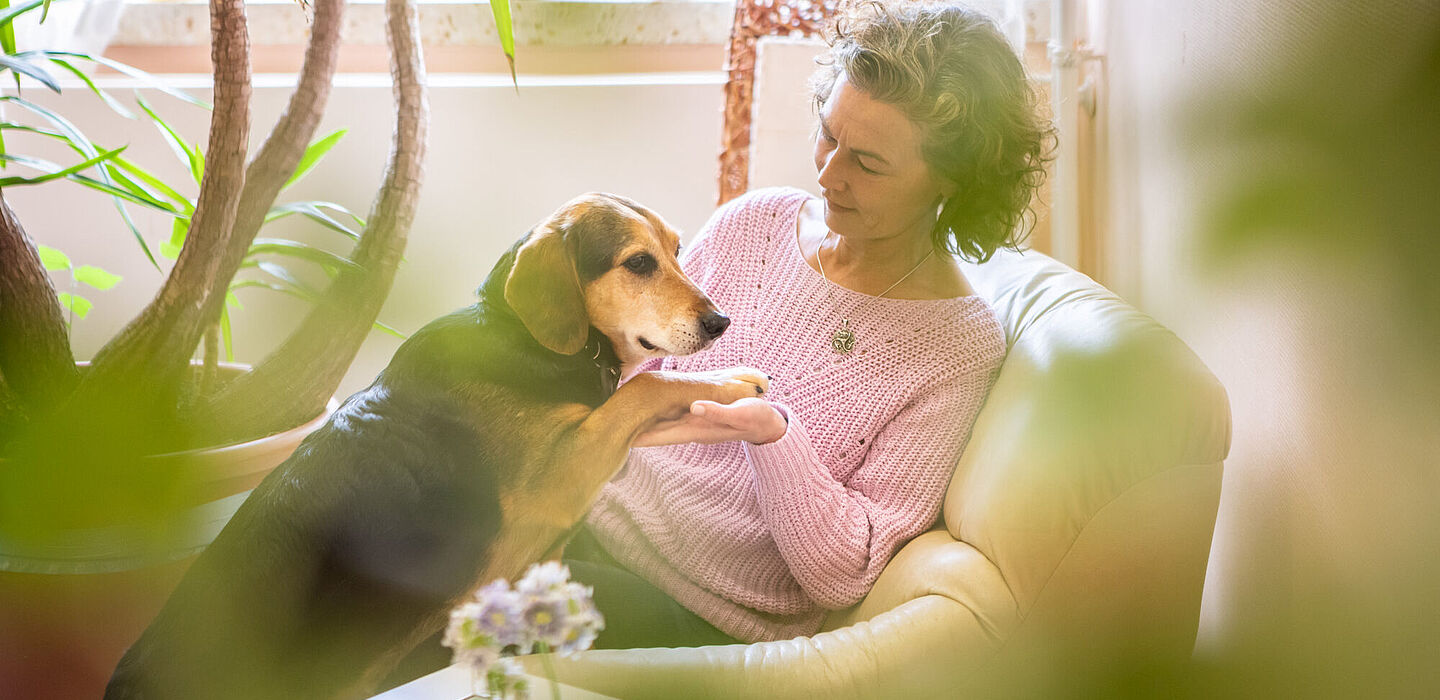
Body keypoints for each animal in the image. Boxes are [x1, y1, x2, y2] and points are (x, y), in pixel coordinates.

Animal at [106, 193, 771, 700]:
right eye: (638, 263)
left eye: (677, 251)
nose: (721, 323)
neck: (522, 335)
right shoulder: (558, 478)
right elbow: (647, 387)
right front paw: (732, 383)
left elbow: (646, 393)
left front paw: (730, 381)